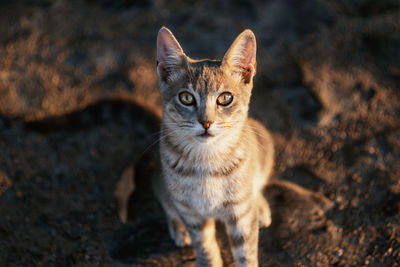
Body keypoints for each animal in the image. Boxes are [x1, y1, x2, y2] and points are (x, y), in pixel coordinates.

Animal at [153, 25, 276, 267]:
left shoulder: (241, 214)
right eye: (186, 98)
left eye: (225, 98)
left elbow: (246, 252)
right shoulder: (191, 213)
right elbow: (205, 245)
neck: (207, 159)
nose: (206, 122)